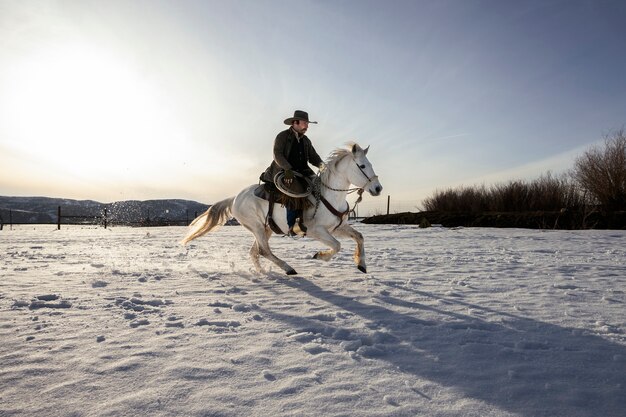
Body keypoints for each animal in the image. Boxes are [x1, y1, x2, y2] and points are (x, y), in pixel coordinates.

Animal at [180, 141, 380, 274]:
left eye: (371, 164)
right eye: (362, 166)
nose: (378, 188)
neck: (329, 196)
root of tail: (235, 198)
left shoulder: (337, 227)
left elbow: (359, 237)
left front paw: (361, 264)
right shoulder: (316, 231)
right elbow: (337, 246)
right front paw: (320, 256)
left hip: (266, 228)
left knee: (255, 252)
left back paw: (263, 272)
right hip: (256, 227)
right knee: (263, 251)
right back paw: (288, 268)